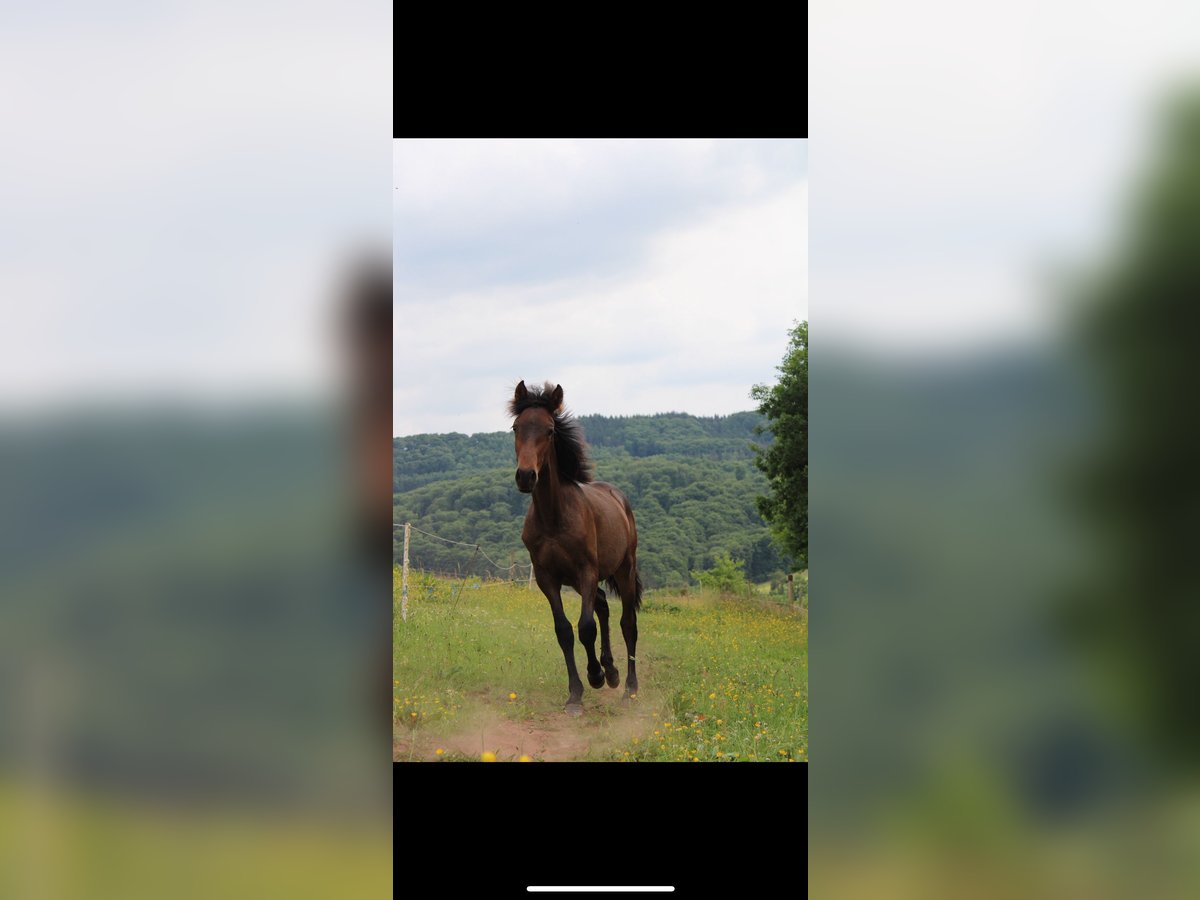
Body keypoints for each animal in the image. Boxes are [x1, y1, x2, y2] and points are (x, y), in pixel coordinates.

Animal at [509, 380, 644, 716]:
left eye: (550, 430)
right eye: (516, 427)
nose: (526, 476)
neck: (554, 517)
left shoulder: (586, 572)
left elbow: (585, 627)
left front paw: (594, 676)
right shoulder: (548, 579)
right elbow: (564, 631)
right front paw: (575, 694)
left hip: (624, 570)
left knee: (627, 623)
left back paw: (629, 688)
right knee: (603, 607)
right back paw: (612, 672)